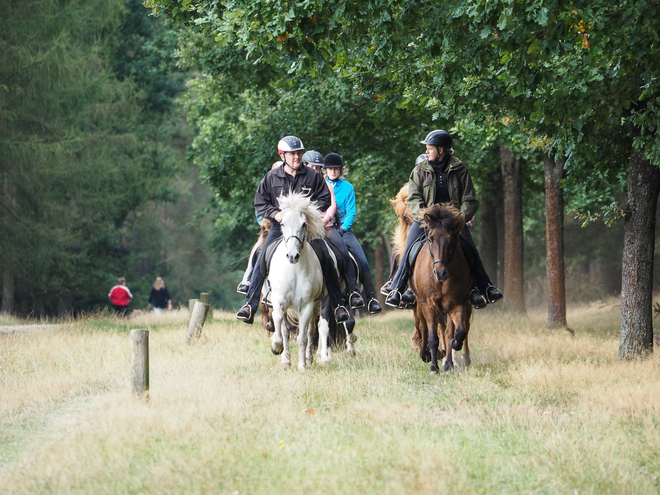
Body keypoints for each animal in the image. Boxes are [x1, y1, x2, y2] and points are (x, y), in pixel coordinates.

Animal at [268, 192, 330, 370]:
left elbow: (303, 337)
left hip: (317, 305)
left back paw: (308, 359)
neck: (294, 270)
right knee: (285, 329)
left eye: (303, 224)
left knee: (311, 330)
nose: (292, 256)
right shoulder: (278, 300)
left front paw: (302, 365)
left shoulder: (307, 306)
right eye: (282, 223)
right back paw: (286, 360)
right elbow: (278, 321)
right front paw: (276, 346)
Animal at [410, 203, 472, 374]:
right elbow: (432, 337)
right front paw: (433, 367)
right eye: (430, 240)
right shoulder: (428, 305)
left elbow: (458, 332)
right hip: (420, 304)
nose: (440, 272)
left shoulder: (457, 304)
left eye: (451, 239)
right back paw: (426, 355)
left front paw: (451, 355)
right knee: (422, 326)